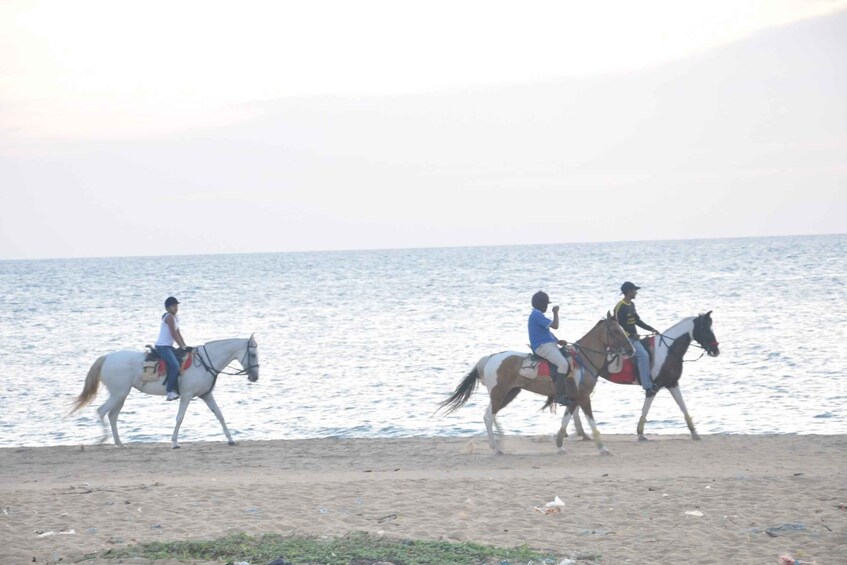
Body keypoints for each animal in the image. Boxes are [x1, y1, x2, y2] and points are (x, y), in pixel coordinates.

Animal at [71, 334, 258, 450]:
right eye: (253, 354)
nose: (255, 377)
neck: (204, 363)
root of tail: (107, 358)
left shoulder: (206, 395)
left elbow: (220, 415)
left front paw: (231, 439)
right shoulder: (187, 395)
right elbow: (180, 418)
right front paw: (174, 442)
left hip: (121, 395)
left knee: (112, 415)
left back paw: (120, 443)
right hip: (119, 393)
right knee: (102, 411)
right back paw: (104, 439)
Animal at [440, 316, 632, 456]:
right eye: (616, 331)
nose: (632, 350)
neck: (583, 360)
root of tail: (490, 358)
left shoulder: (573, 400)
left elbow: (565, 421)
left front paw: (560, 445)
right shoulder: (583, 398)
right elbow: (591, 421)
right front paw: (603, 448)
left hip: (509, 393)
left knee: (492, 415)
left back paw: (500, 441)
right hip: (499, 394)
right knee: (488, 416)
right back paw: (496, 447)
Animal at [568, 312, 720, 440]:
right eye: (706, 329)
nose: (716, 350)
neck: (668, 350)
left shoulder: (672, 383)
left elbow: (683, 406)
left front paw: (694, 432)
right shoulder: (654, 387)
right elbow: (646, 409)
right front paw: (640, 433)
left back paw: (580, 433)